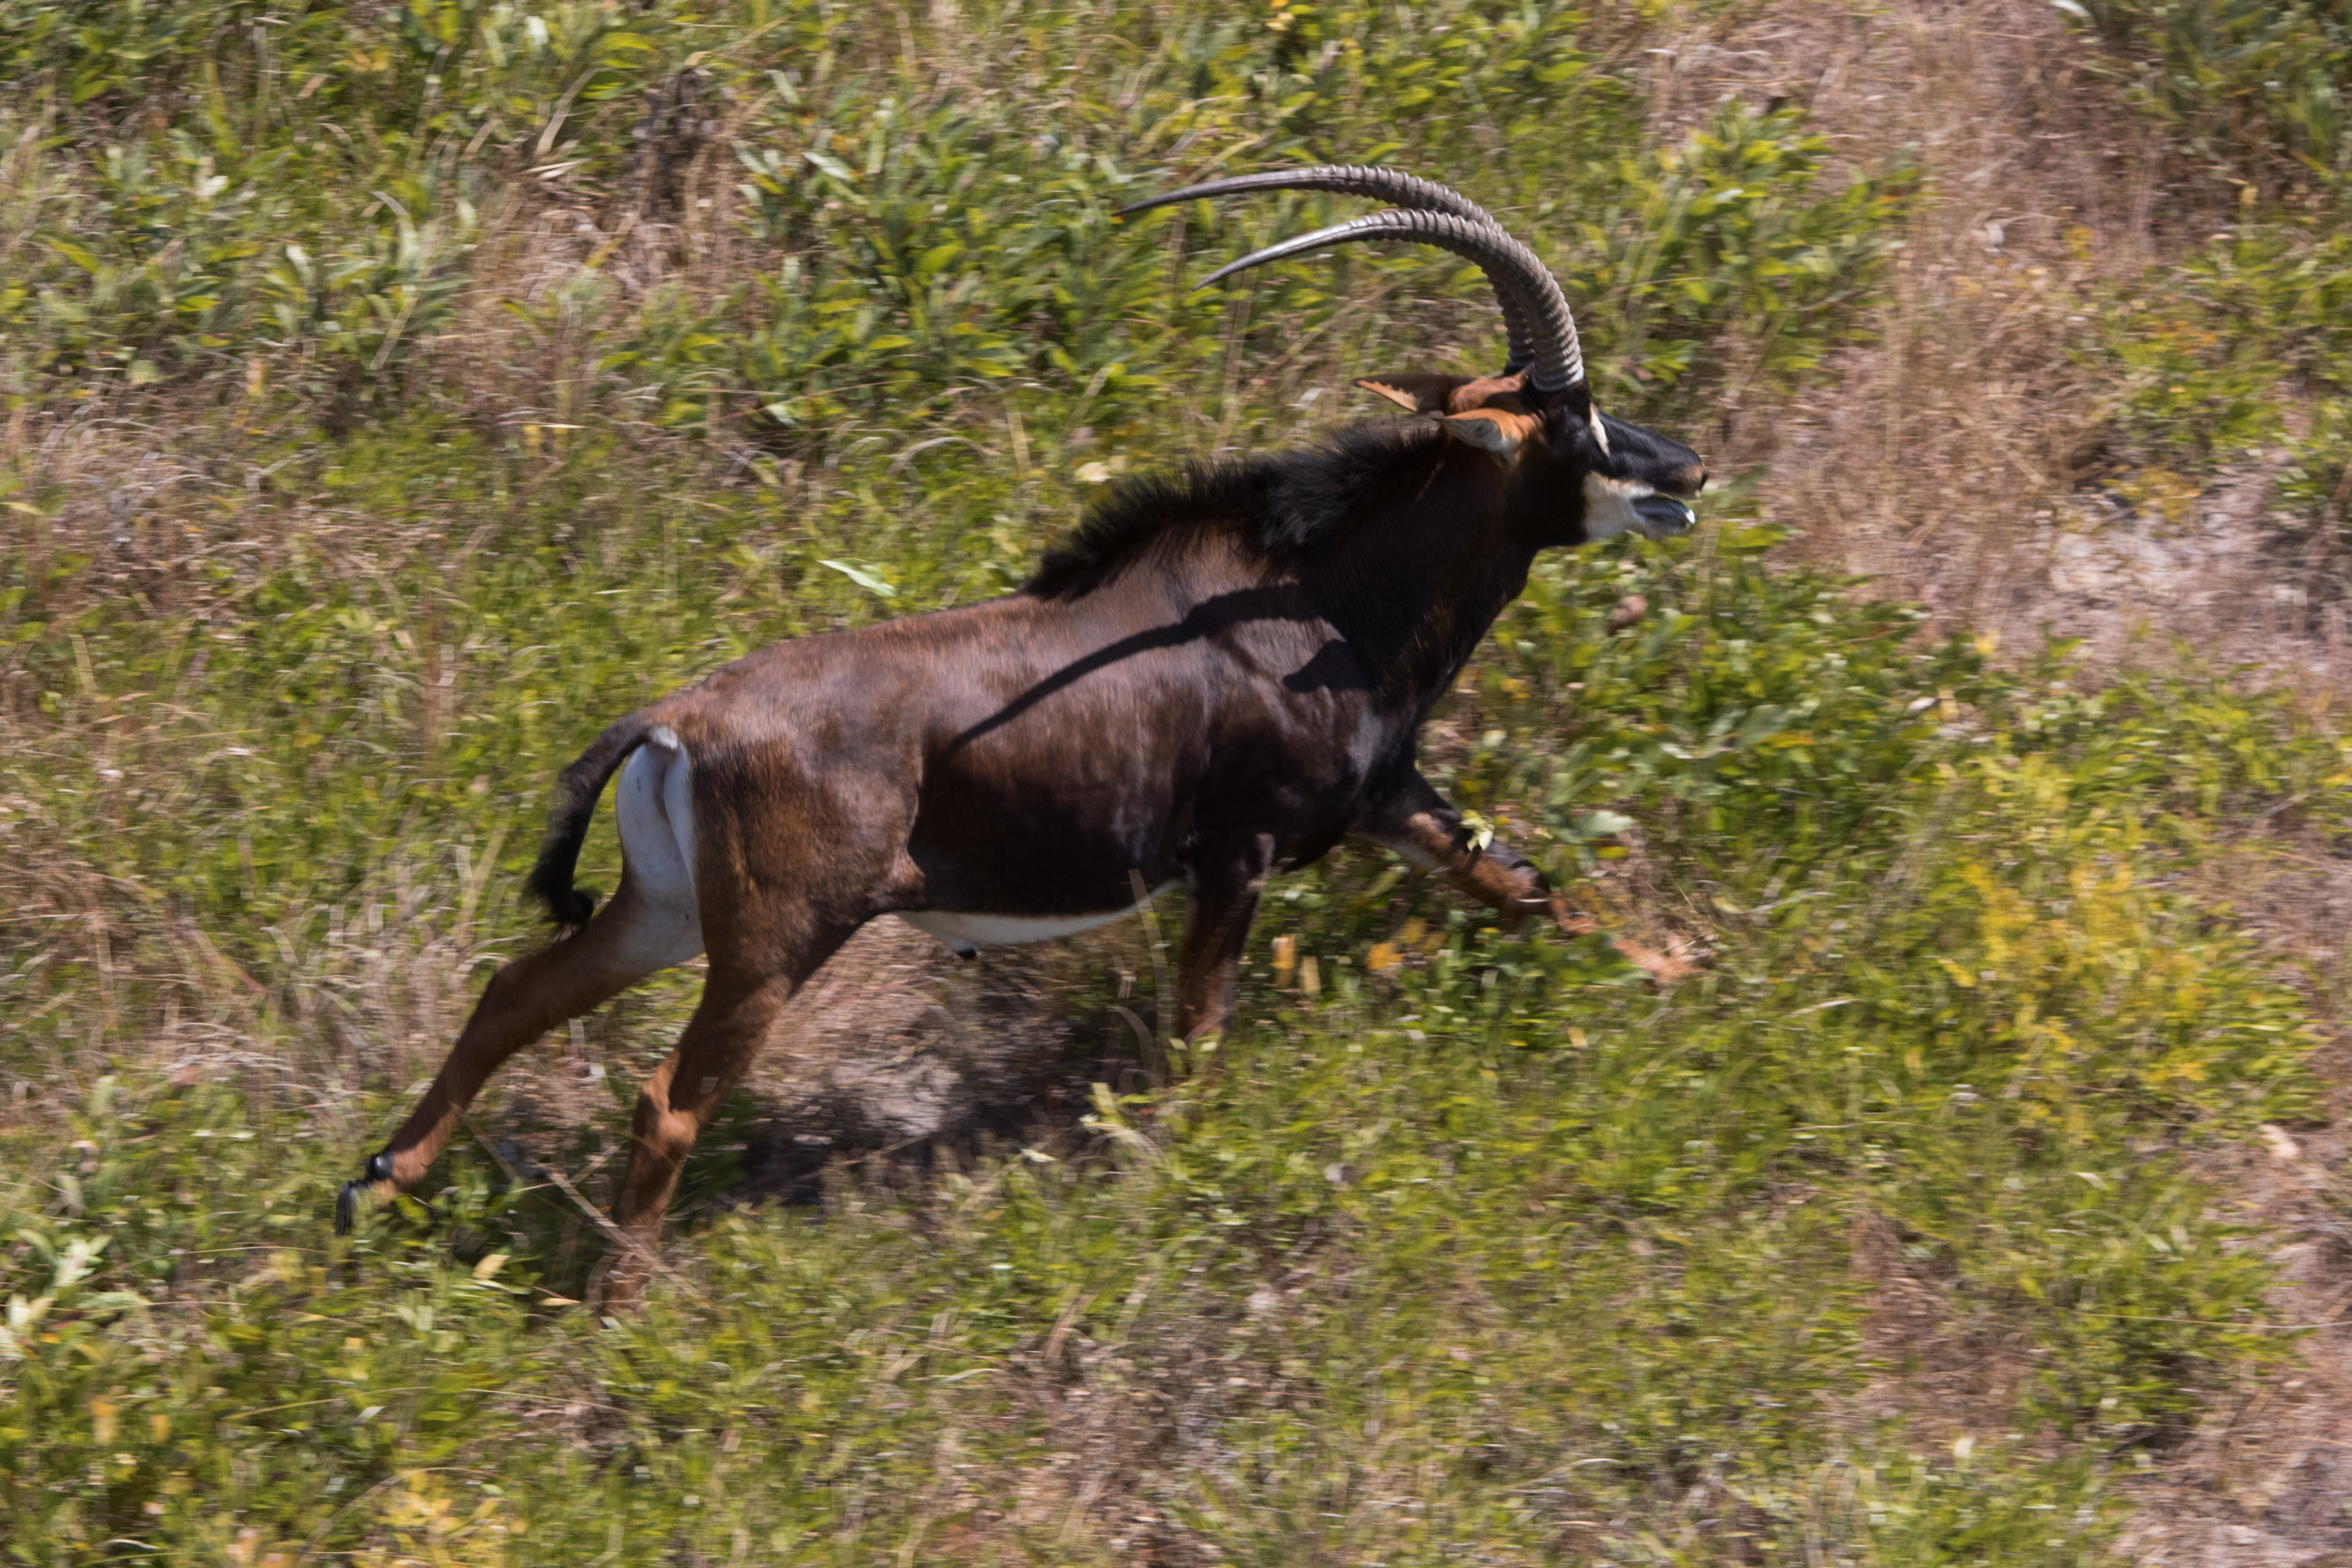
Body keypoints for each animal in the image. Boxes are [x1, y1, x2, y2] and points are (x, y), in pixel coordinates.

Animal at [336, 167, 1708, 1300]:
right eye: (1572, 418)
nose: (1683, 469)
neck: (1318, 597)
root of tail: (675, 718)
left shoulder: (1387, 800)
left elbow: (1529, 886)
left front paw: (1676, 973)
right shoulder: (1239, 853)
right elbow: (1196, 1041)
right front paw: (1181, 1182)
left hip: (665, 910)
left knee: (515, 991)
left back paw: (381, 1184)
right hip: (777, 942)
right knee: (666, 1099)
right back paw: (619, 1308)